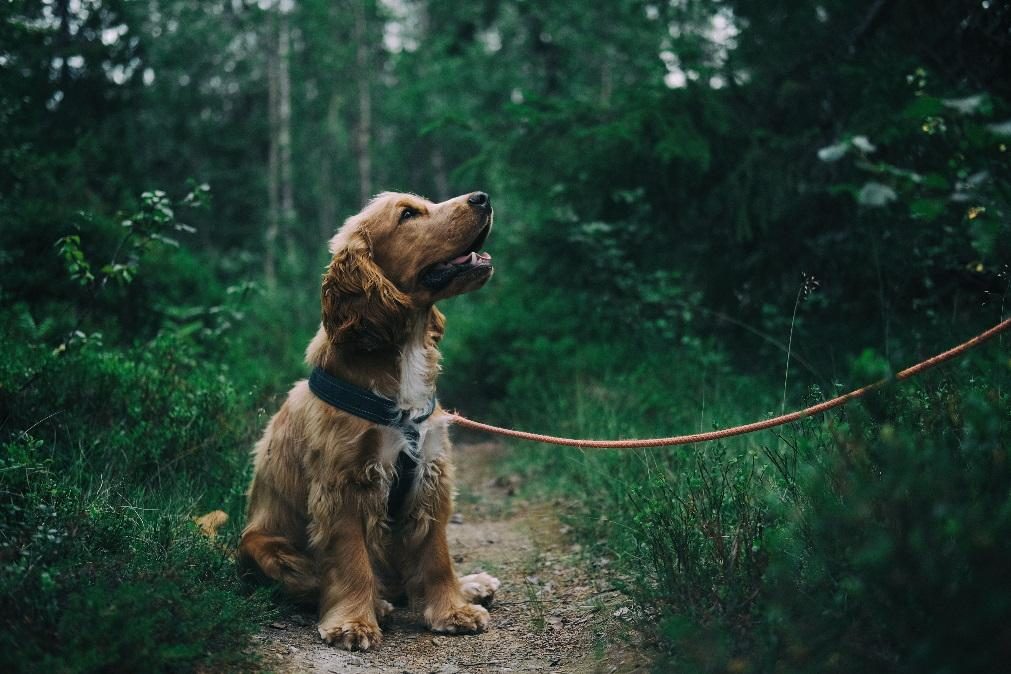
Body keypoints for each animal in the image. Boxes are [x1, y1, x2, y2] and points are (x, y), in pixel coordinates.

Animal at [240, 191, 501, 650]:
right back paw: (378, 603)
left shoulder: (430, 473)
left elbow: (436, 554)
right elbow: (350, 560)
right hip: (263, 546)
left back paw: (471, 584)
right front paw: (353, 623)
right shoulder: (344, 483)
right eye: (408, 214)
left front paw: (453, 610)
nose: (482, 197)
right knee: (316, 581)